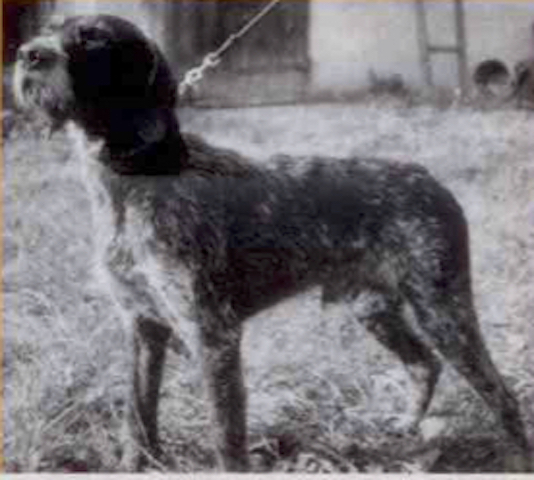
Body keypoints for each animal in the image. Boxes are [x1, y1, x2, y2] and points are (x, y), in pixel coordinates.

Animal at [14, 14, 531, 471]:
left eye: (94, 38)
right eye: (50, 28)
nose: (27, 54)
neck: (139, 177)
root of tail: (429, 179)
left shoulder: (214, 335)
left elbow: (226, 437)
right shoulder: (144, 326)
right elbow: (137, 417)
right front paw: (132, 464)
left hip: (444, 312)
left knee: (500, 393)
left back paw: (516, 456)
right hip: (374, 308)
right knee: (424, 364)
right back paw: (406, 424)